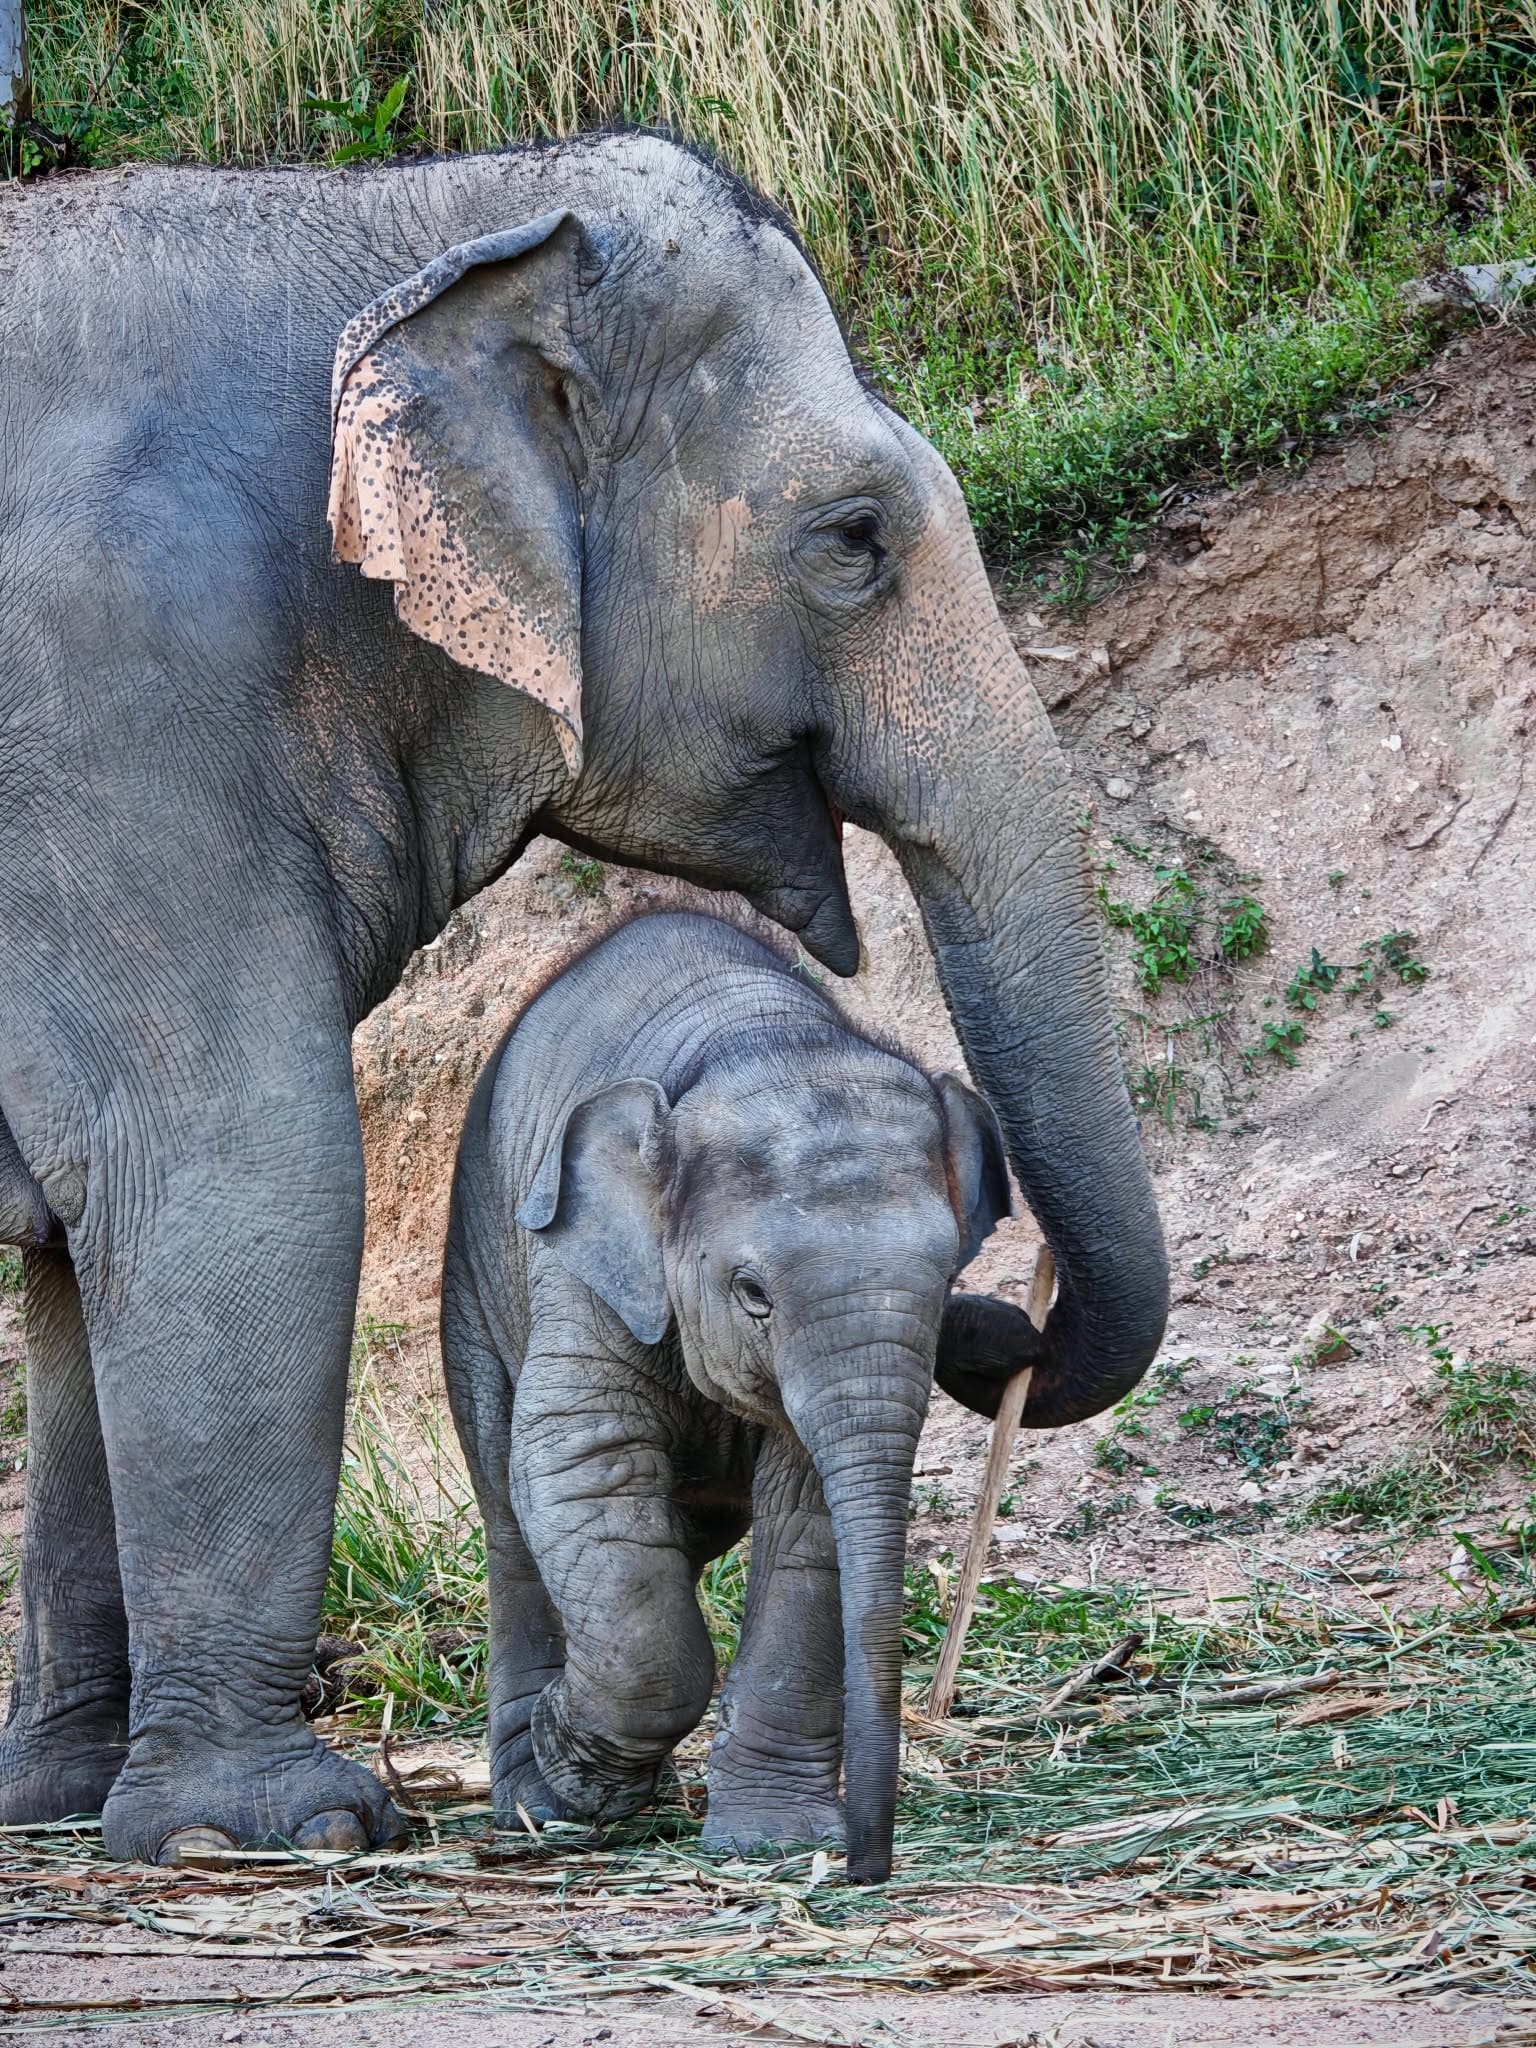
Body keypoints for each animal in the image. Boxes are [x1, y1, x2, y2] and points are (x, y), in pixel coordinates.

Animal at [442, 909, 1017, 1881]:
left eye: (948, 1284)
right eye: (752, 1292)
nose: (868, 1865)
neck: (760, 1040)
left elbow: (809, 1520)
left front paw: (772, 1844)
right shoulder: (583, 1275)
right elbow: (583, 1467)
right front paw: (572, 1763)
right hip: (477, 1288)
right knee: (512, 1519)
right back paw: (535, 1806)